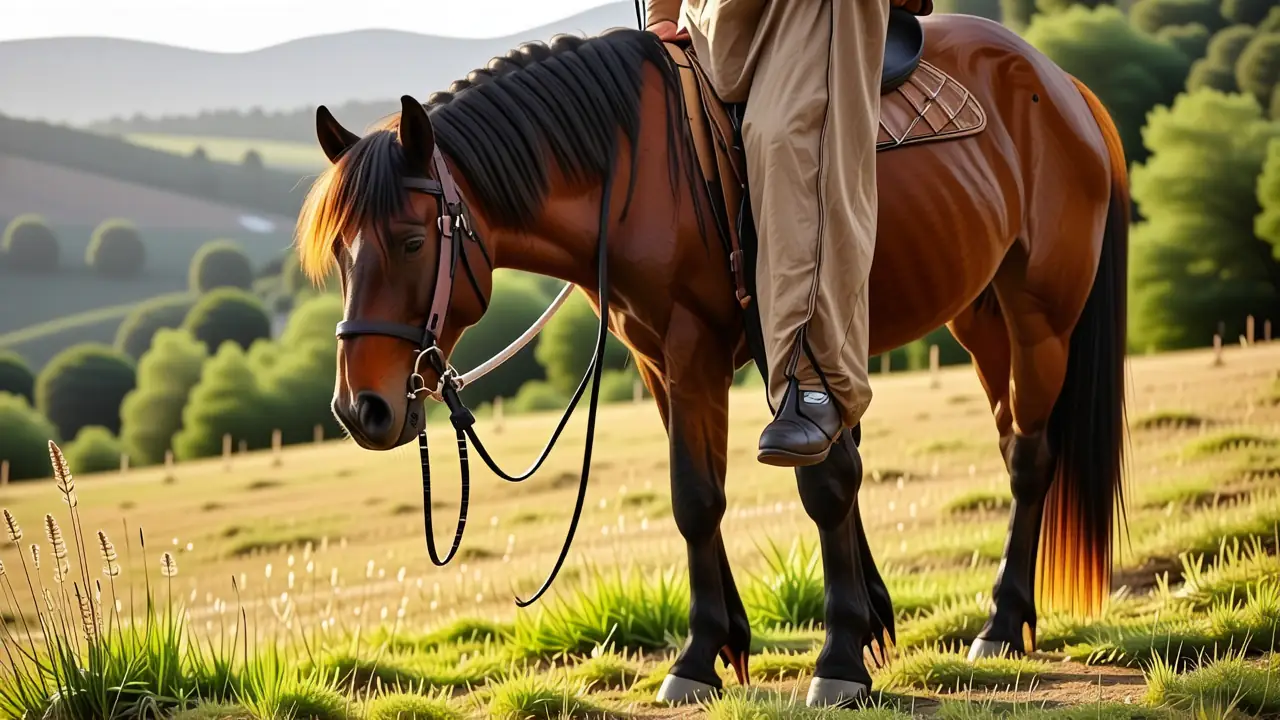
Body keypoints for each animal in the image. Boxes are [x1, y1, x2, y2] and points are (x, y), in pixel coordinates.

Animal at [294, 12, 1129, 708]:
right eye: (340, 254)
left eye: (411, 240)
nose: (360, 408)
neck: (633, 171)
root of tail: (1061, 83)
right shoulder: (664, 361)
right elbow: (697, 494)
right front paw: (721, 645)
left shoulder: (740, 349)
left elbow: (797, 486)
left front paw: (830, 658)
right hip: (980, 317)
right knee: (1009, 437)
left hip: (1038, 319)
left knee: (1030, 458)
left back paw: (1004, 621)